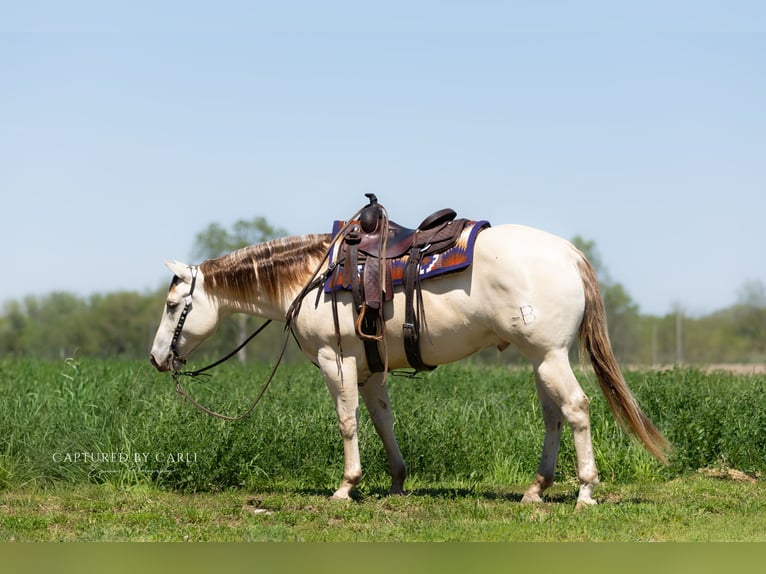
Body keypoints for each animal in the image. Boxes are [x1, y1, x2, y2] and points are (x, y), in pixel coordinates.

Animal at [149, 223, 669, 507]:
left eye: (174, 305)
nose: (156, 358)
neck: (312, 278)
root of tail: (567, 251)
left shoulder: (335, 361)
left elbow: (347, 421)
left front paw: (347, 486)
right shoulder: (370, 368)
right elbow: (383, 421)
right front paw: (397, 482)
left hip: (551, 356)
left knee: (578, 409)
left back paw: (585, 492)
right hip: (541, 359)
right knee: (553, 416)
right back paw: (536, 489)